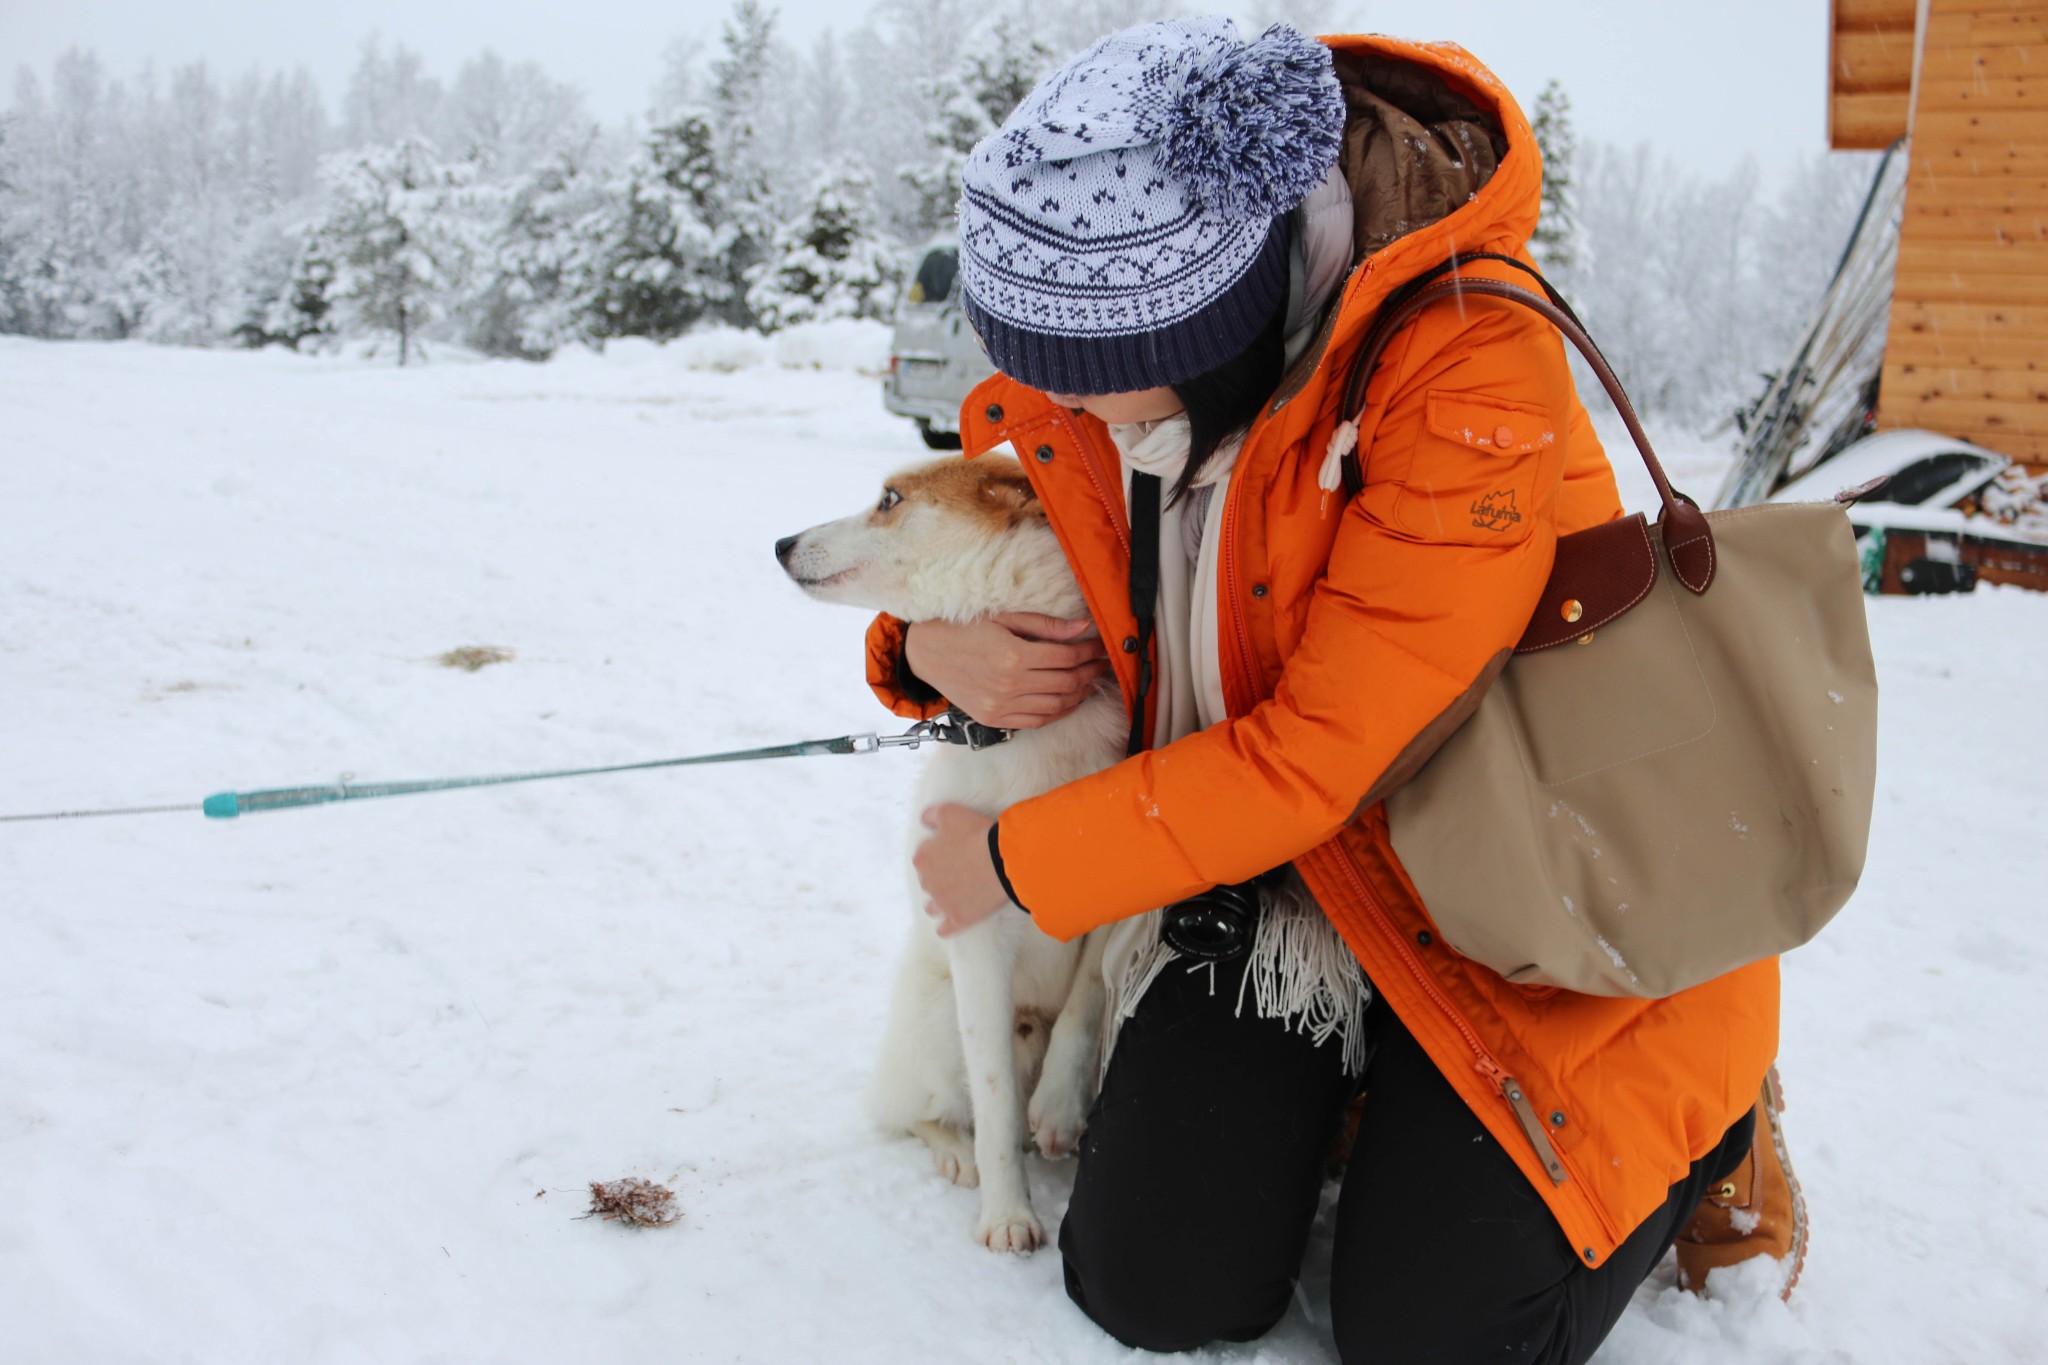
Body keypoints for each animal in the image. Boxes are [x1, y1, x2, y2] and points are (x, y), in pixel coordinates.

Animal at [770, 456, 1122, 1252]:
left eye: (890, 500)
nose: (780, 543)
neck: (1028, 738)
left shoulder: (1119, 901)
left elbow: (1086, 1002)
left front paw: (1059, 1105)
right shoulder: (977, 939)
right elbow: (993, 1103)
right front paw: (1008, 1211)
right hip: (937, 1026)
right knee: (920, 1114)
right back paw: (958, 1154)